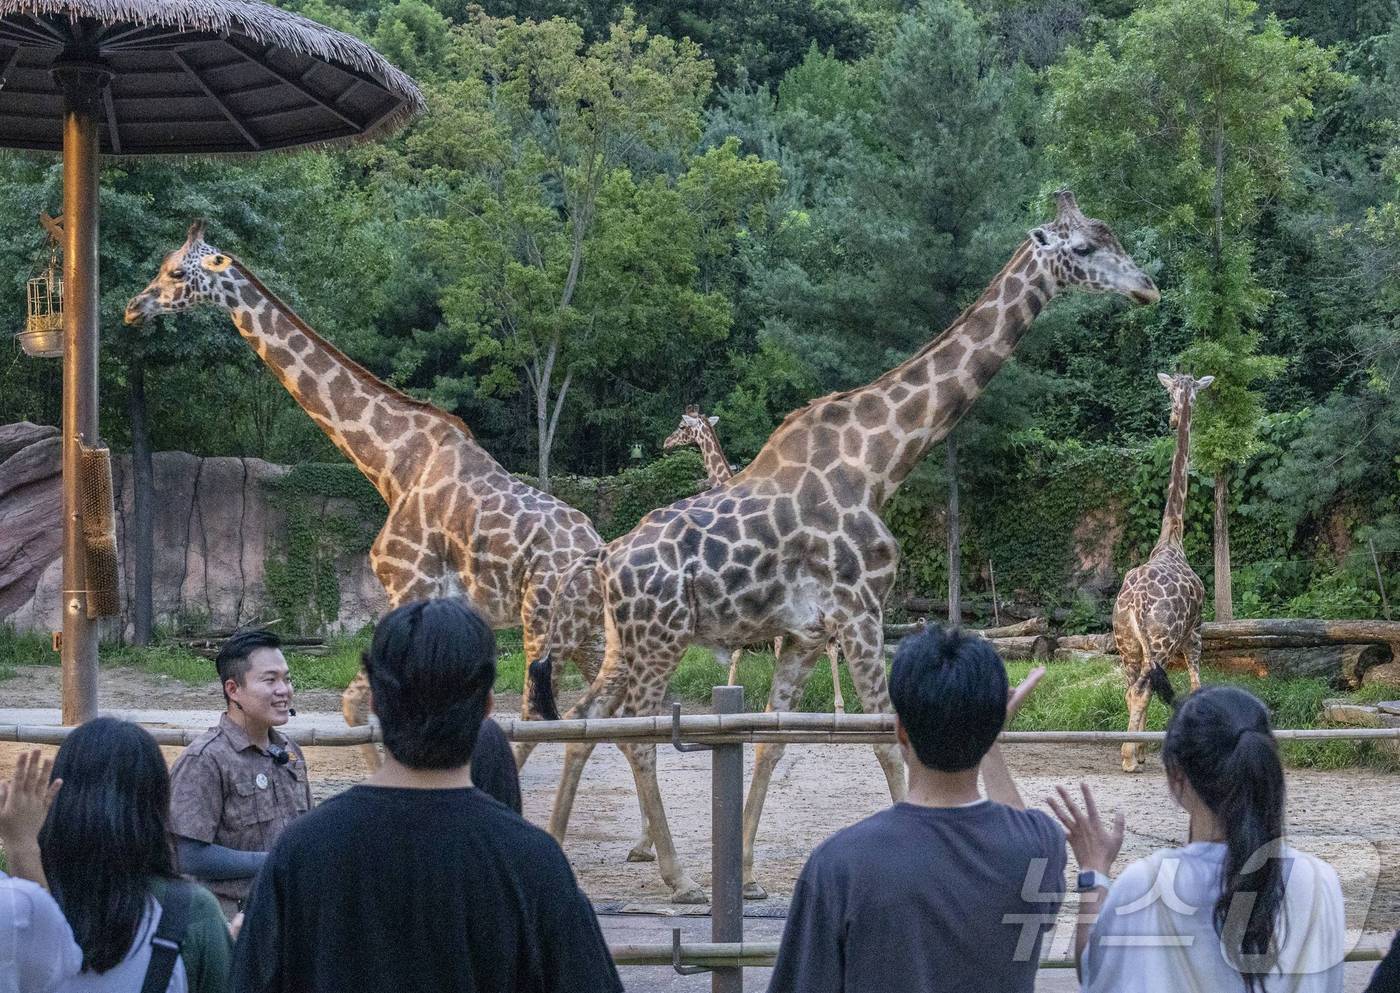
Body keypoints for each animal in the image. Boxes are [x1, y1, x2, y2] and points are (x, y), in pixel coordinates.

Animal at [130, 221, 607, 773]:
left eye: (174, 271)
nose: (134, 307)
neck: (390, 464)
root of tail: (599, 550)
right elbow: (360, 706)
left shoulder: (409, 587)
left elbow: (361, 706)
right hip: (588, 630)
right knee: (609, 711)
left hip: (543, 621)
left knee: (543, 715)